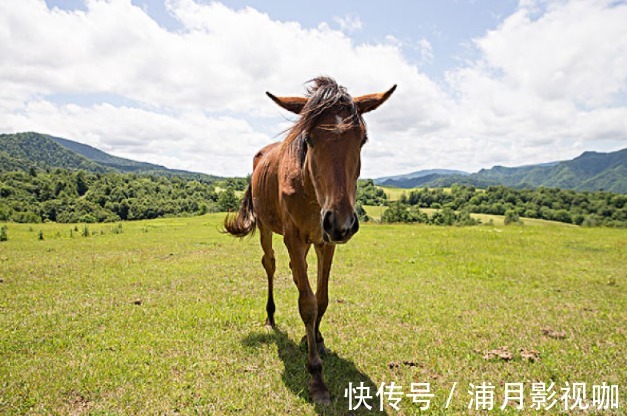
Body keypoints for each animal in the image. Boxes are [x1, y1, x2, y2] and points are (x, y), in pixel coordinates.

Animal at [223, 76, 394, 404]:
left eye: (362, 140)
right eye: (310, 139)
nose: (342, 222)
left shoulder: (326, 242)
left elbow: (321, 297)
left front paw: (316, 337)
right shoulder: (293, 237)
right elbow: (307, 304)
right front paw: (316, 377)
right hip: (267, 228)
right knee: (270, 264)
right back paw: (270, 316)